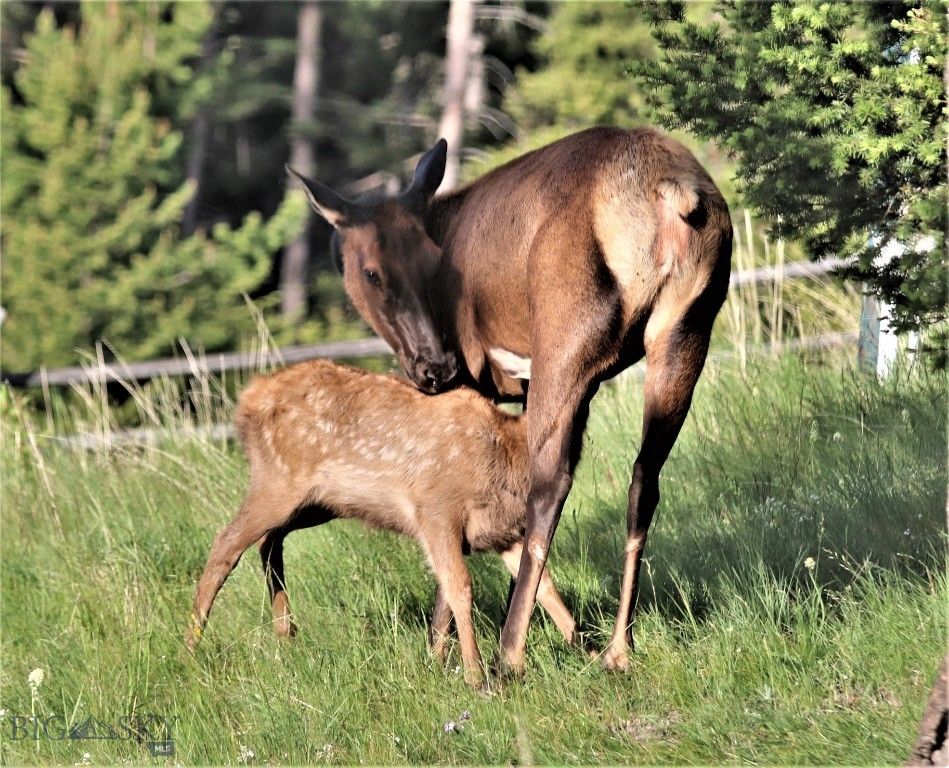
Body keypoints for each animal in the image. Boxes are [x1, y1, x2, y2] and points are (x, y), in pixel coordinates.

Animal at [185, 359, 577, 687]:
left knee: (268, 543)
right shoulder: (435, 510)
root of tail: (248, 399)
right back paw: (191, 646)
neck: (507, 453)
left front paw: (583, 650)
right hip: (277, 481)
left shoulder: (501, 532)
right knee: (225, 543)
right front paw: (475, 676)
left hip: (317, 503)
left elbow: (543, 585)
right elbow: (460, 586)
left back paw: (285, 634)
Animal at [287, 126, 733, 675]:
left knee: (551, 483)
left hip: (563, 342)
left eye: (435, 264)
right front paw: (569, 635)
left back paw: (509, 652)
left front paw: (439, 648)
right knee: (644, 477)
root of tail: (671, 194)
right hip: (686, 329)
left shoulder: (483, 380)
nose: (435, 366)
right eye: (373, 274)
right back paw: (616, 647)